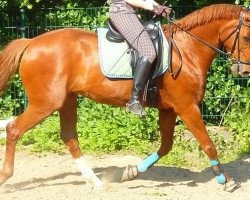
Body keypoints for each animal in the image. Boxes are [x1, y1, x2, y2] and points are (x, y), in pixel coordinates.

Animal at [0, 3, 249, 191]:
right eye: (247, 37)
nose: (244, 71)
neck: (186, 50)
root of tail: (31, 43)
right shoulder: (187, 107)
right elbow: (208, 144)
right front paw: (225, 180)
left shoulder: (168, 109)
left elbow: (166, 146)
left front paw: (131, 172)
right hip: (45, 103)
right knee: (14, 129)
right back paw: (6, 176)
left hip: (66, 101)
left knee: (69, 137)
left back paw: (96, 182)